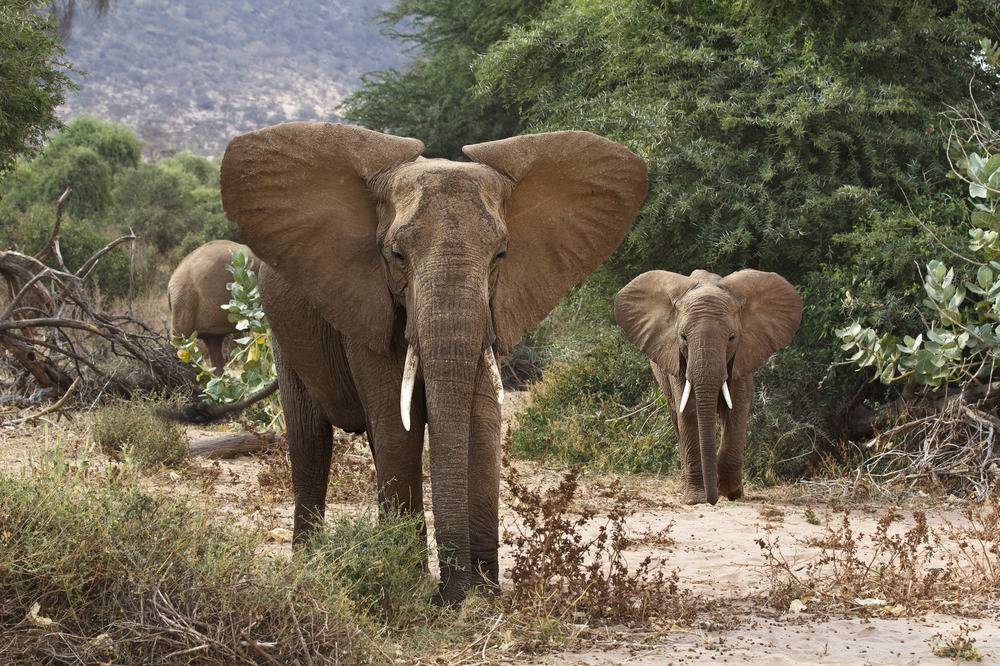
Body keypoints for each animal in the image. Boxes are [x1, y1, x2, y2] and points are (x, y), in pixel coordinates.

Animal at [219, 120, 648, 600]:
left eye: (501, 255)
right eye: (396, 255)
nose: (449, 594)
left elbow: (482, 420)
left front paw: (481, 595)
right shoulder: (367, 302)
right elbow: (396, 427)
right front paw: (414, 586)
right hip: (280, 331)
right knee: (310, 438)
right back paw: (309, 565)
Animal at [612, 268, 800, 504]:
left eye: (732, 338)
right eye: (683, 337)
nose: (712, 500)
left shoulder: (743, 355)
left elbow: (737, 408)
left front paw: (730, 491)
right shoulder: (677, 358)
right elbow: (689, 411)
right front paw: (695, 499)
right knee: (676, 416)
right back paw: (683, 488)